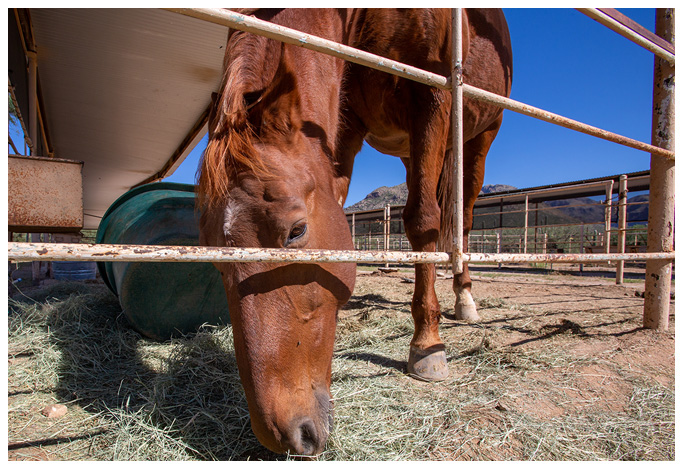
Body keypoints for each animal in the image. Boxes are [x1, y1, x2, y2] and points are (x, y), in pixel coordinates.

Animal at [198, 7, 512, 454]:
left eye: (296, 232)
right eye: (210, 252)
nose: (286, 436)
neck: (364, 16)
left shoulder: (433, 99)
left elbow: (423, 220)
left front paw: (427, 345)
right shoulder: (345, 126)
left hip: (481, 134)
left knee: (461, 219)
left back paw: (464, 298)